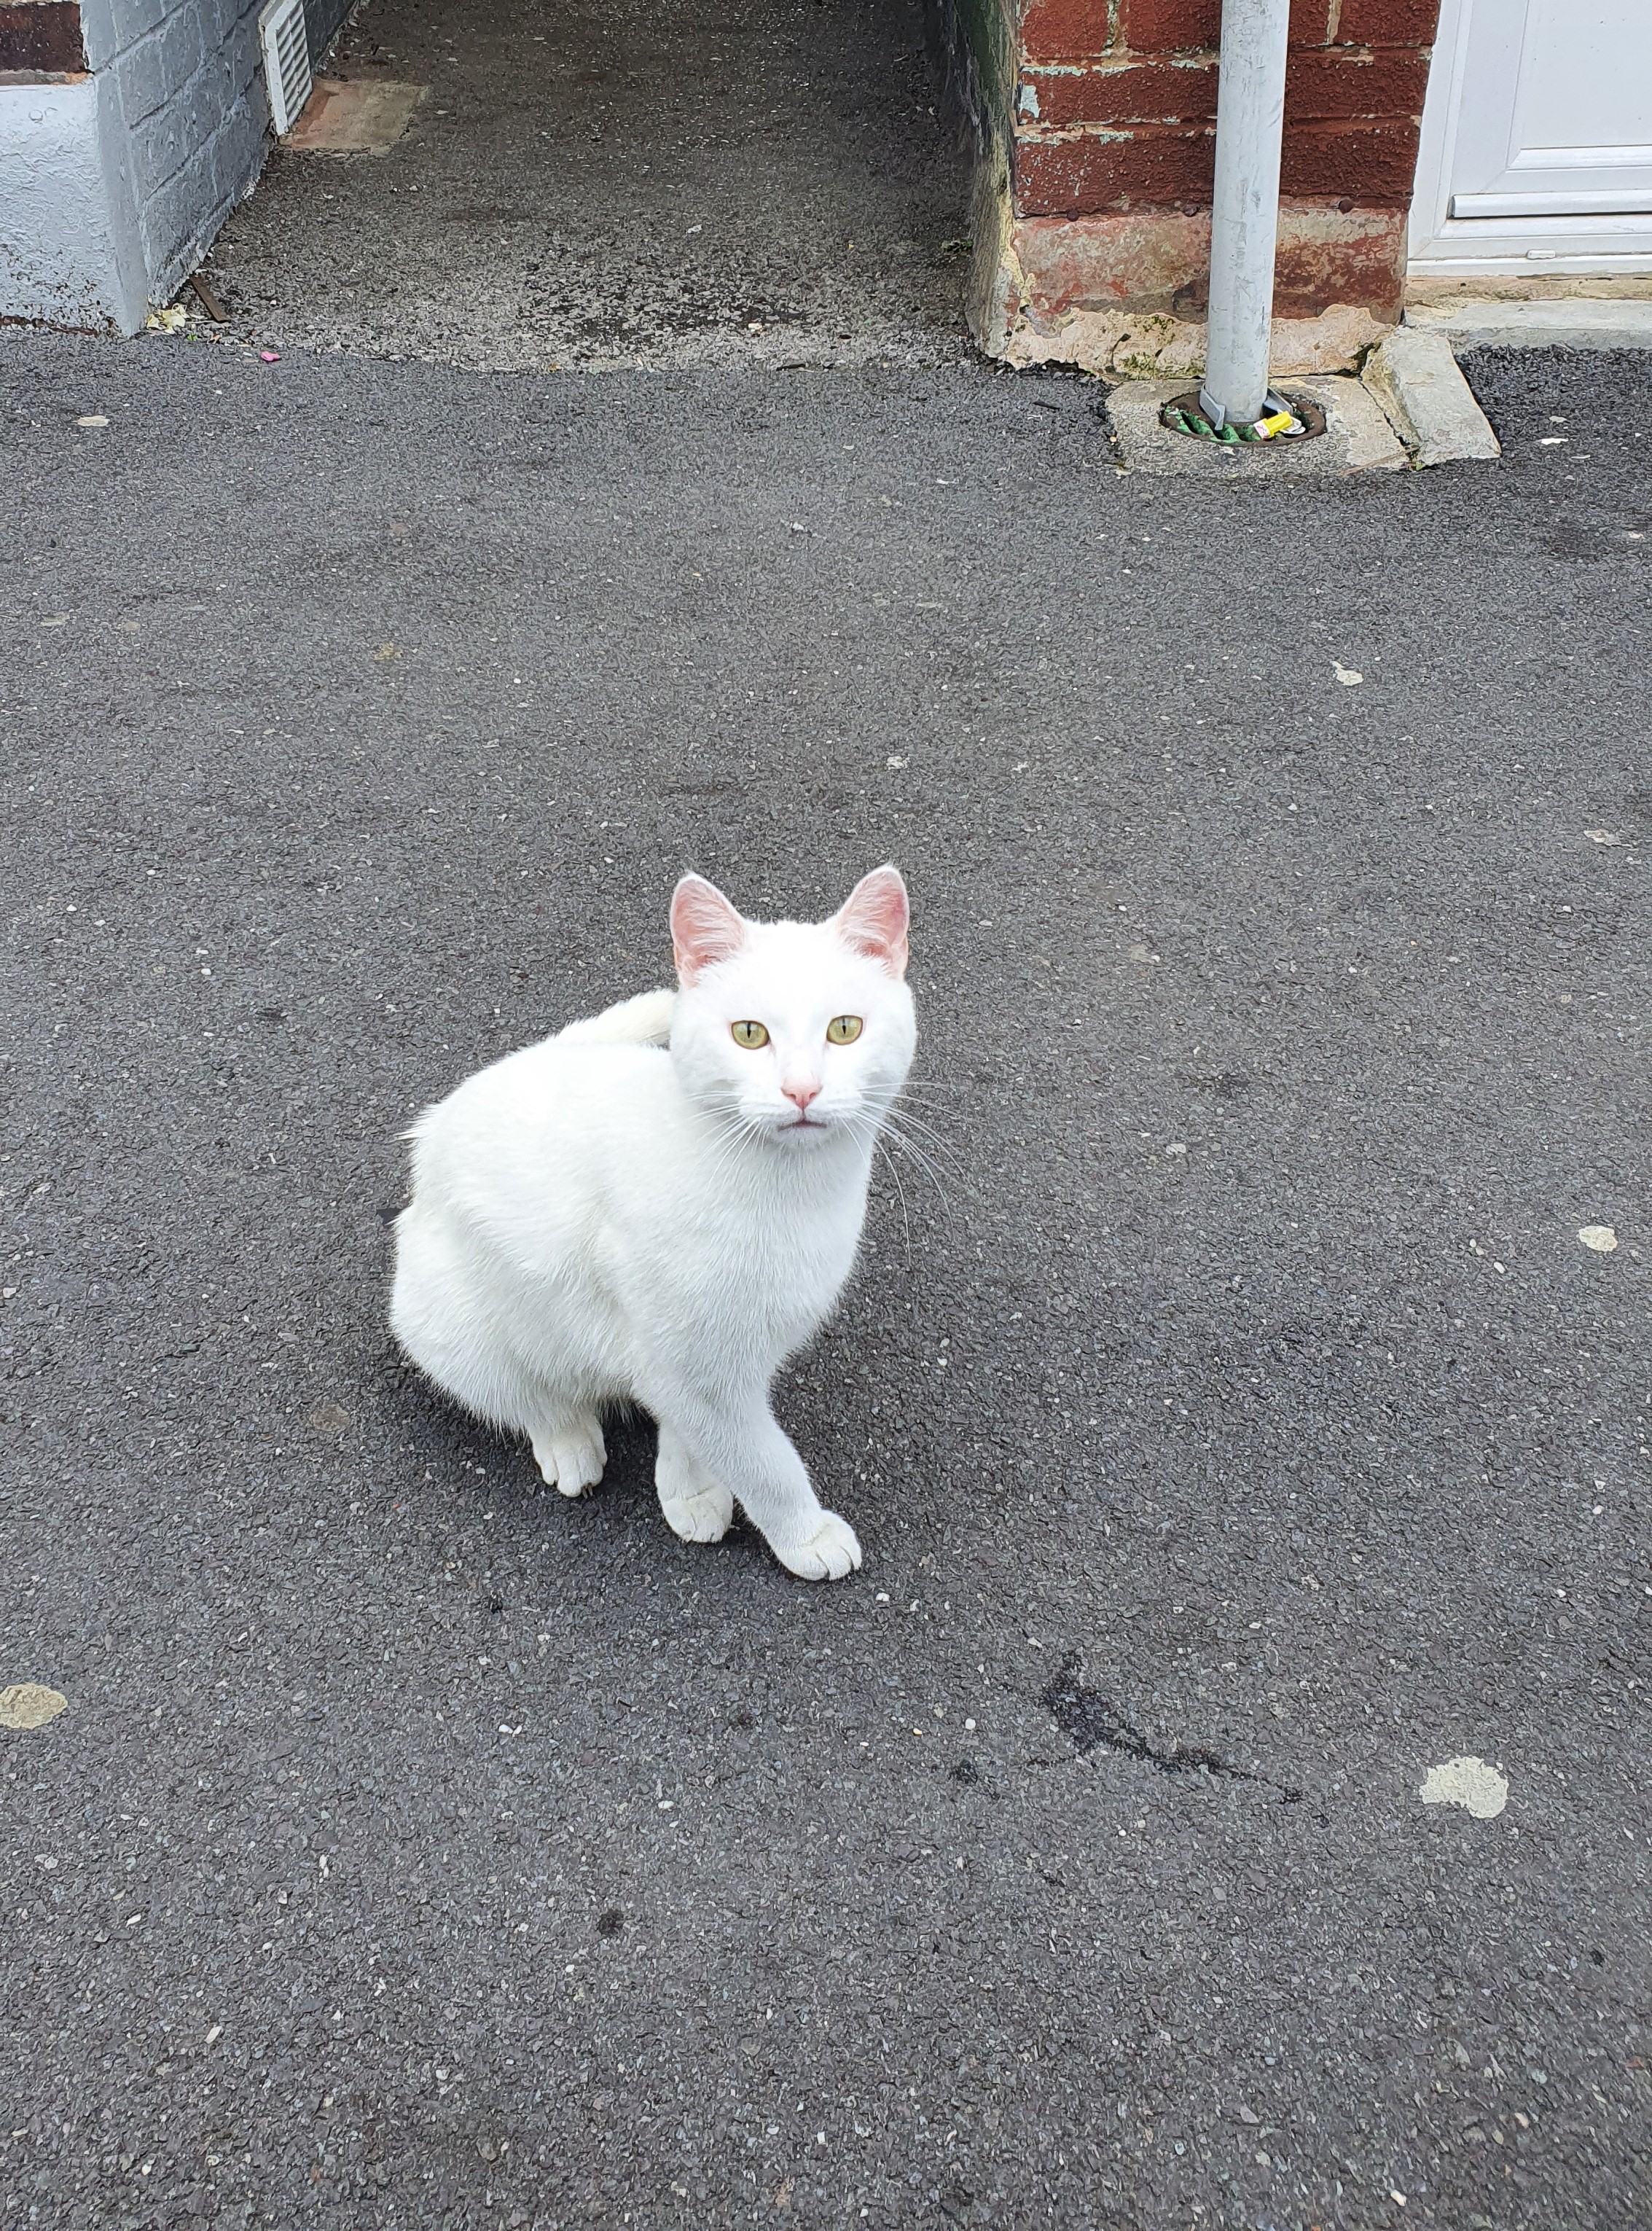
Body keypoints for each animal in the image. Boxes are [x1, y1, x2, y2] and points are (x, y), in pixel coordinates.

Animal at [394, 861, 923, 1579]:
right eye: (749, 1033)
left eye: (844, 1029)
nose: (802, 1090)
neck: (790, 1197)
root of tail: (436, 1125)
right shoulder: (688, 1361)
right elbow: (763, 1460)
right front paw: (804, 1534)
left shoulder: (708, 1361)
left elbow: (697, 1433)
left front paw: (689, 1489)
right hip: (452, 1321)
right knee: (524, 1392)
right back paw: (569, 1440)